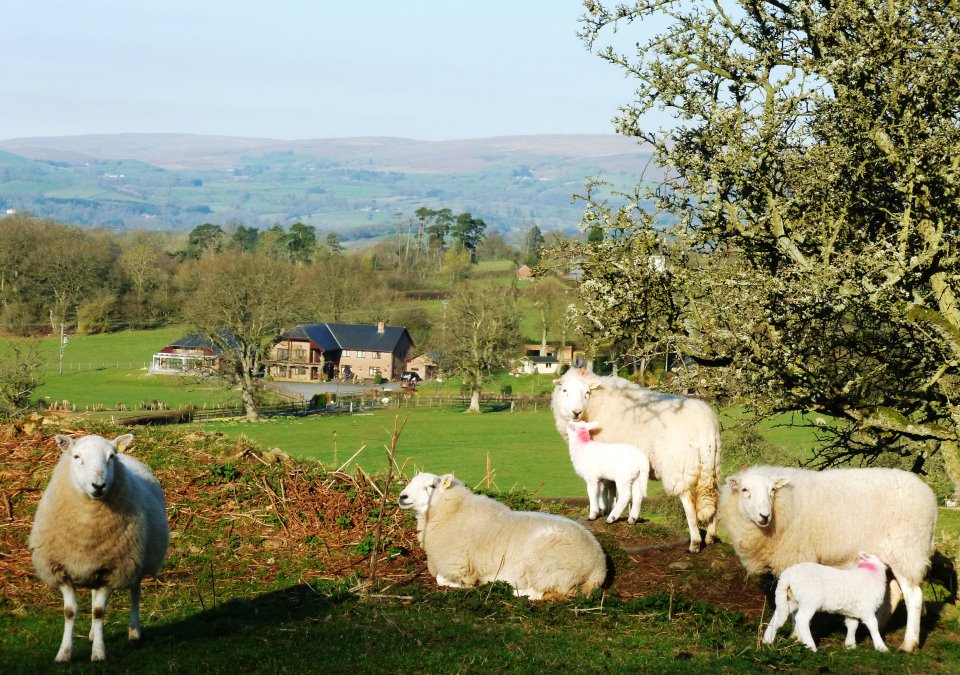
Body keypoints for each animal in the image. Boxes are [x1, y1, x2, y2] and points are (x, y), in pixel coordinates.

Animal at [29, 433, 169, 663]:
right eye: (76, 456)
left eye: (111, 456)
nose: (98, 485)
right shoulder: (63, 570)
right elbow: (70, 612)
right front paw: (64, 654)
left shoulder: (114, 569)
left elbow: (98, 612)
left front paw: (98, 653)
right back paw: (93, 634)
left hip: (136, 561)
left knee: (135, 593)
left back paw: (134, 633)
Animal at [397, 472, 607, 599]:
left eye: (431, 486)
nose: (402, 497)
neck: (452, 511)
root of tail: (599, 566)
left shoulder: (459, 567)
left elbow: (442, 579)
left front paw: (468, 585)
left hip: (548, 569)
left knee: (539, 593)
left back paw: (512, 589)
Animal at [552, 367, 721, 553]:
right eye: (565, 390)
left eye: (587, 392)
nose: (576, 412)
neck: (597, 404)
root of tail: (705, 425)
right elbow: (612, 487)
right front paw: (610, 509)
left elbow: (605, 486)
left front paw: (603, 510)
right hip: (713, 467)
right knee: (713, 498)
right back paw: (711, 536)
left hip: (677, 467)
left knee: (689, 503)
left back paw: (695, 543)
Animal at [719, 465, 938, 653]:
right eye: (745, 490)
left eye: (772, 490)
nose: (764, 516)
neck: (785, 504)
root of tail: (929, 494)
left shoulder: (797, 556)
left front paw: (796, 637)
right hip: (889, 556)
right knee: (893, 592)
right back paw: (878, 627)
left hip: (907, 552)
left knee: (914, 597)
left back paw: (908, 644)